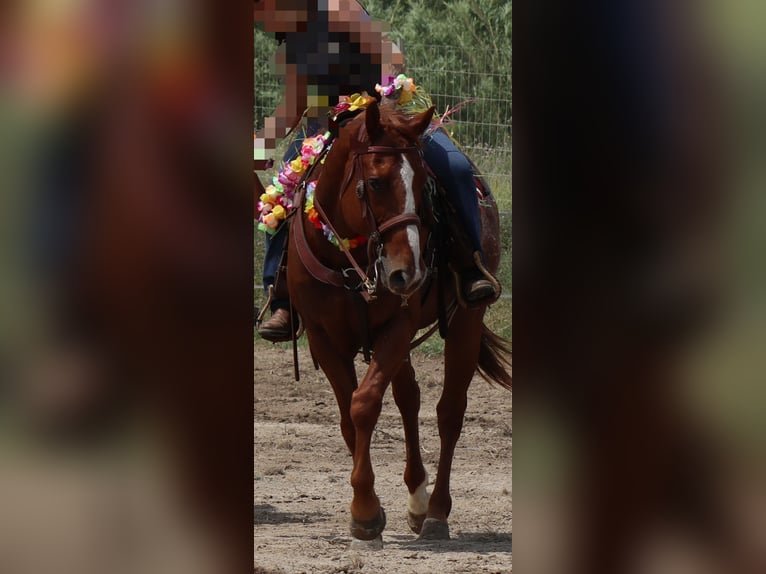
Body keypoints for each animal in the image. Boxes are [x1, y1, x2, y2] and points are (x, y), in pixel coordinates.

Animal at [284, 100, 511, 543]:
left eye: (423, 183)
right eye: (374, 183)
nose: (409, 272)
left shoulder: (397, 328)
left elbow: (364, 404)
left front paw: (365, 511)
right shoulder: (322, 337)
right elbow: (347, 417)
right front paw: (368, 506)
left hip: (466, 320)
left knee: (449, 411)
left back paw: (436, 511)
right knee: (410, 399)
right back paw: (417, 499)